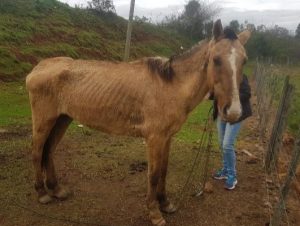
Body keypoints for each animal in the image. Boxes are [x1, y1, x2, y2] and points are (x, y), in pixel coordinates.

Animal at [25, 19, 251, 226]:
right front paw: (154, 213)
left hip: (62, 119)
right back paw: (42, 193)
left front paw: (165, 203)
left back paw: (56, 189)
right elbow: (153, 175)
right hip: (44, 121)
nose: (233, 112)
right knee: (37, 152)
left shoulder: (167, 138)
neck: (170, 86)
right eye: (216, 59)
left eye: (244, 61)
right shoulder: (154, 139)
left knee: (49, 151)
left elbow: (163, 171)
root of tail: (38, 68)